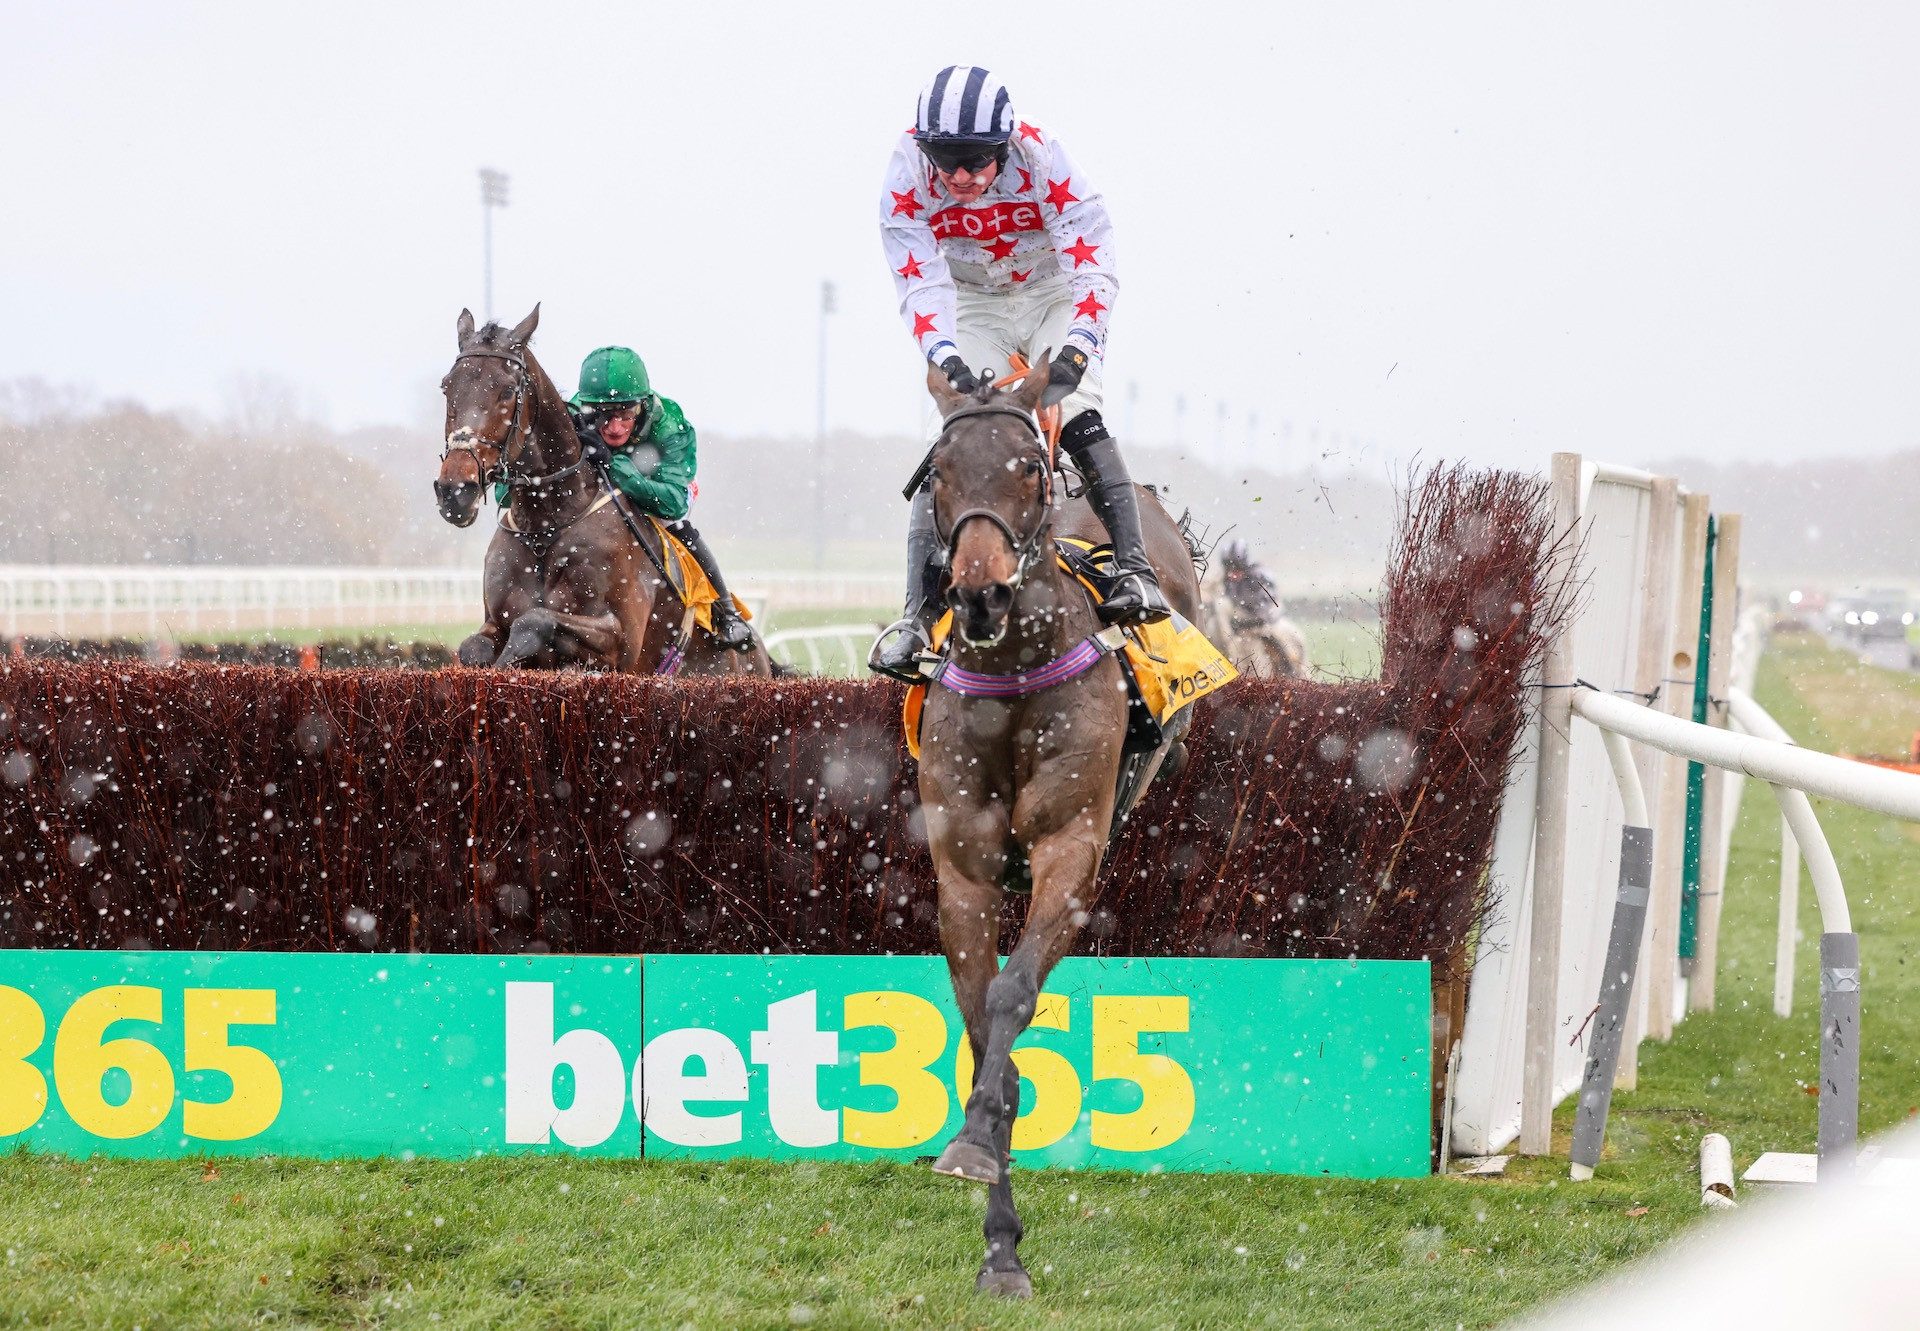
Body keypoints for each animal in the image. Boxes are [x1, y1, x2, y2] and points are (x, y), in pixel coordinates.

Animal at [435, 309, 764, 676]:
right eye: (447, 386)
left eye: (507, 391)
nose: (455, 491)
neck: (546, 525)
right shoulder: (494, 621)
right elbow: (472, 647)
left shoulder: (620, 640)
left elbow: (535, 621)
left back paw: (733, 626)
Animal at [913, 355, 1198, 1298]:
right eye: (939, 473)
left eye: (1026, 471)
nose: (980, 593)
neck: (1014, 663)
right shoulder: (962, 874)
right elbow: (979, 1029)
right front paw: (997, 1237)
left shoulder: (1070, 856)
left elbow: (1011, 996)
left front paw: (978, 1155)